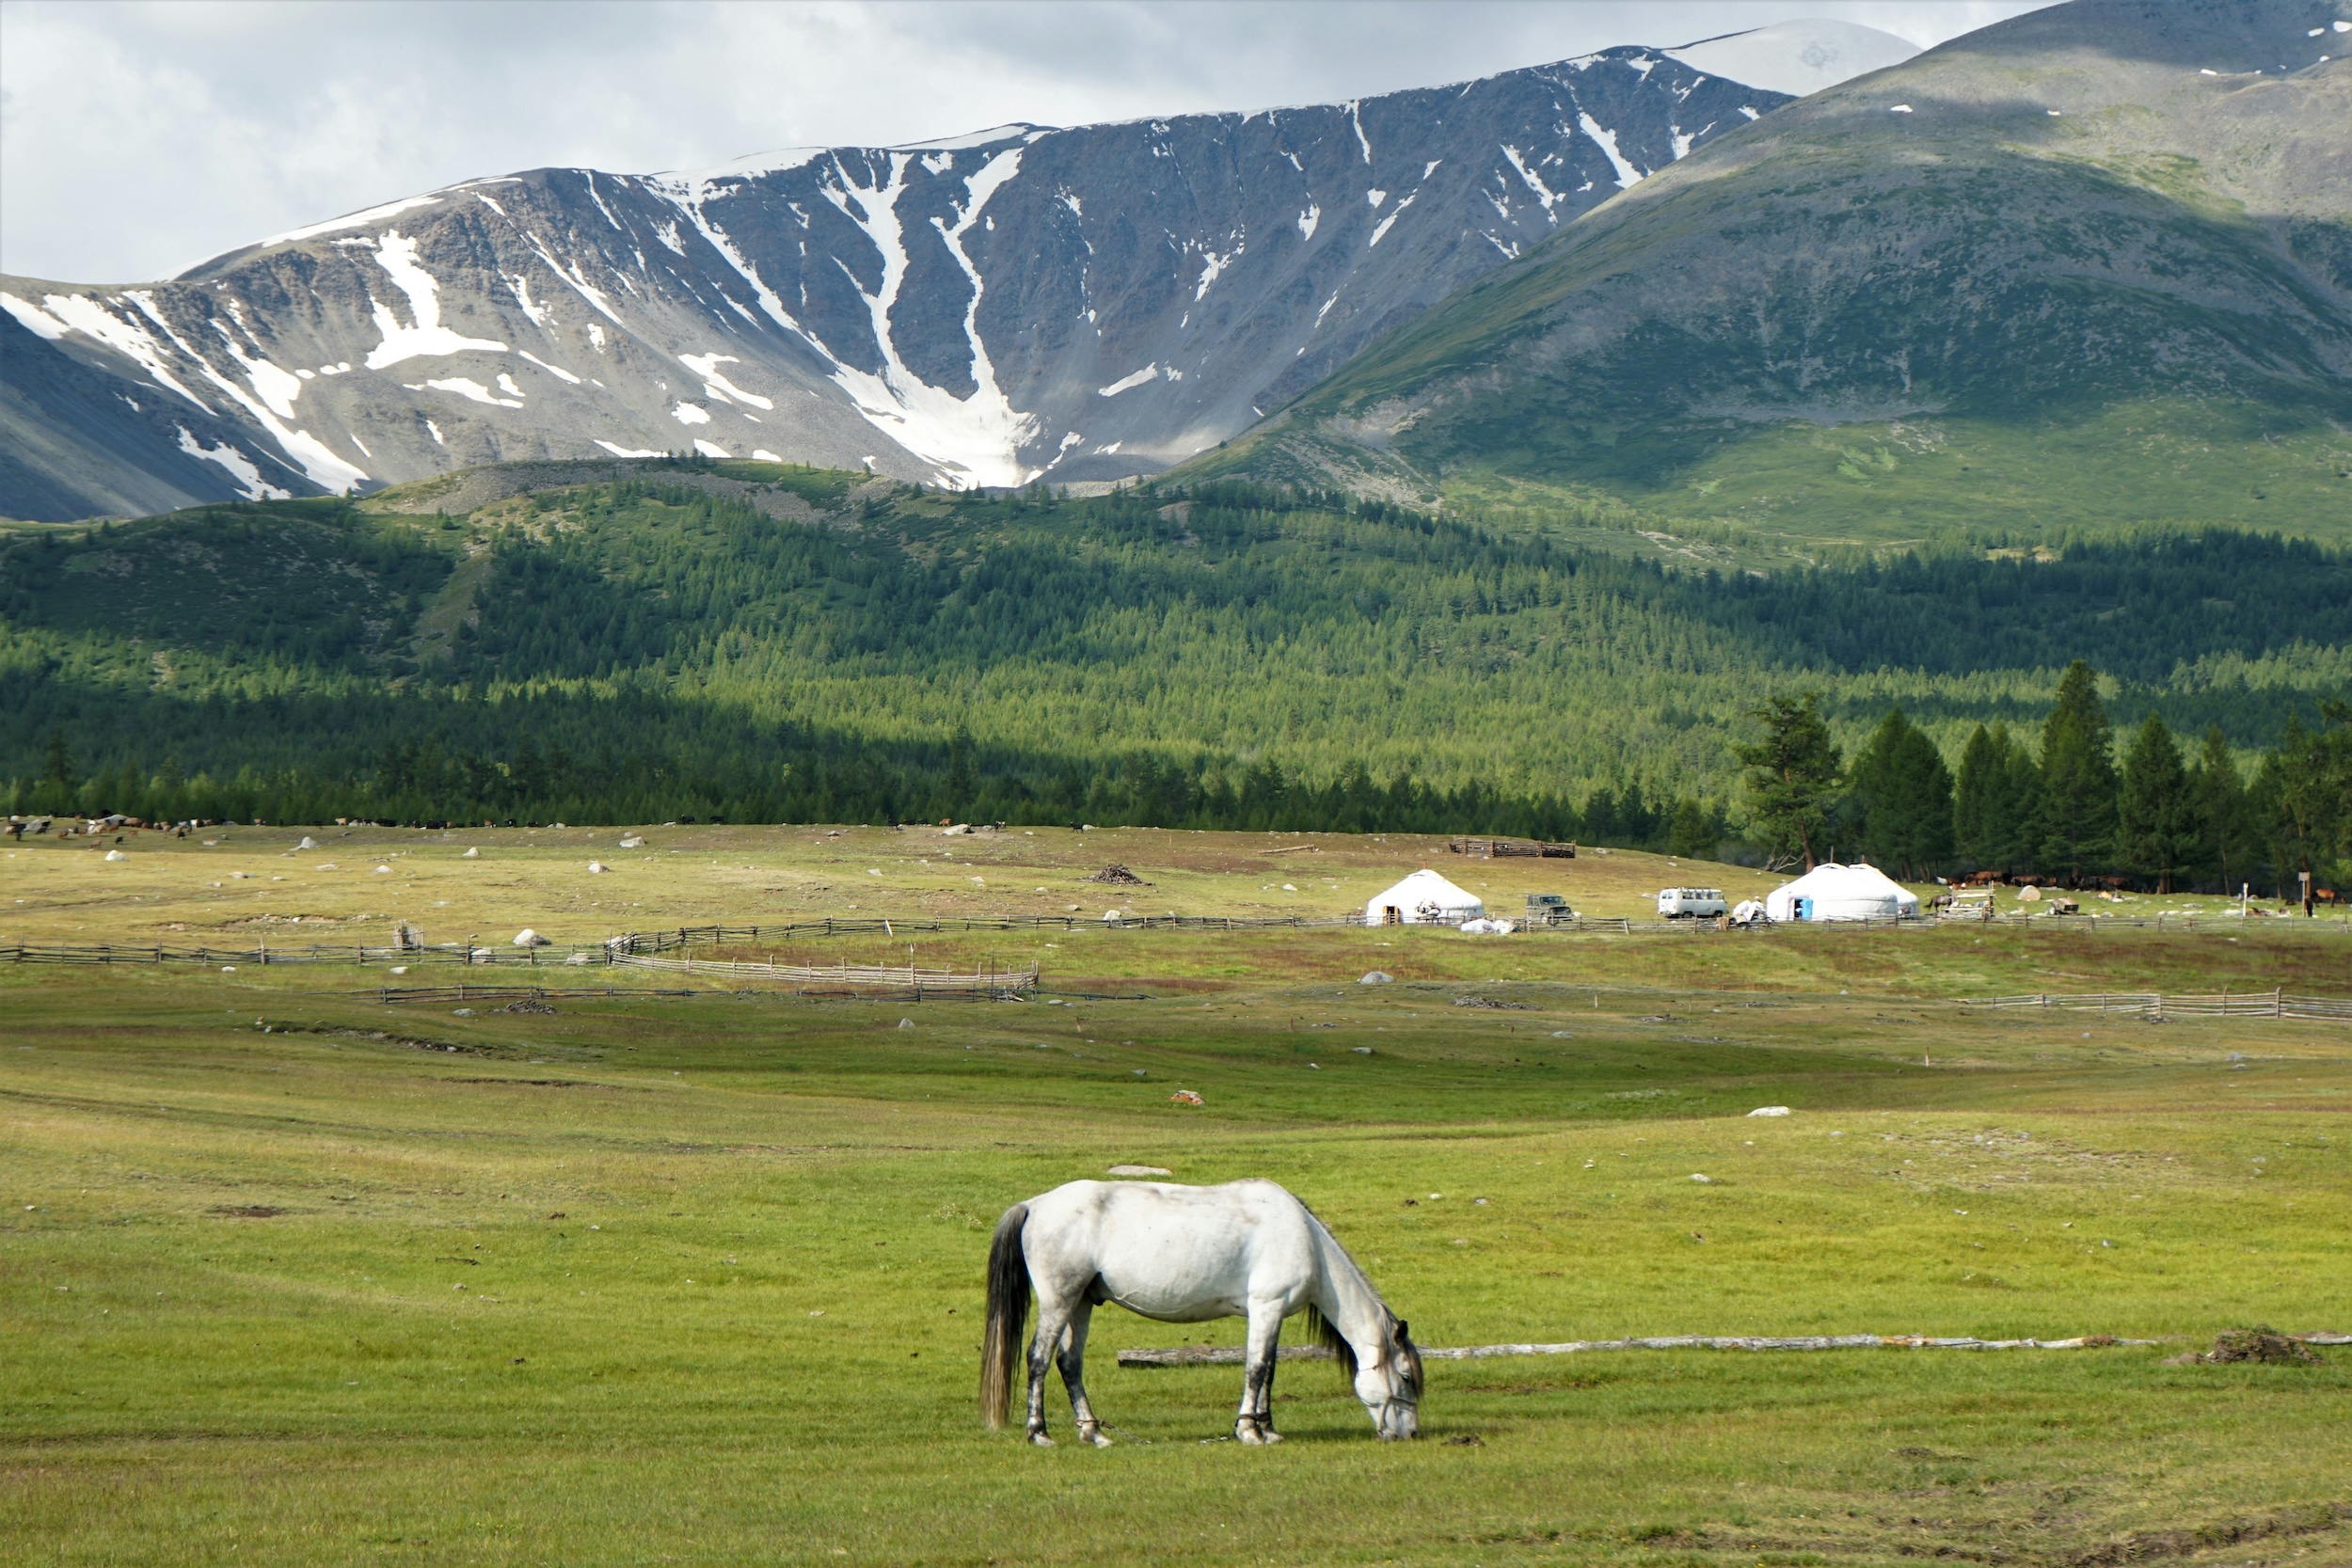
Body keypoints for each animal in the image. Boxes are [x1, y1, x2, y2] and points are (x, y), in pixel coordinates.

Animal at [974, 1175, 1411, 1448]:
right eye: (1406, 1376)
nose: (1408, 1433)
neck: (1304, 1238)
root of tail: (1035, 1205)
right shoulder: (1266, 1308)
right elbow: (1255, 1369)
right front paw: (1249, 1431)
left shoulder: (1271, 1315)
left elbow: (1269, 1369)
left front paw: (1268, 1429)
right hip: (1059, 1301)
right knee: (1039, 1359)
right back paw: (1039, 1433)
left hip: (1081, 1301)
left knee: (1069, 1363)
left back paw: (1093, 1433)